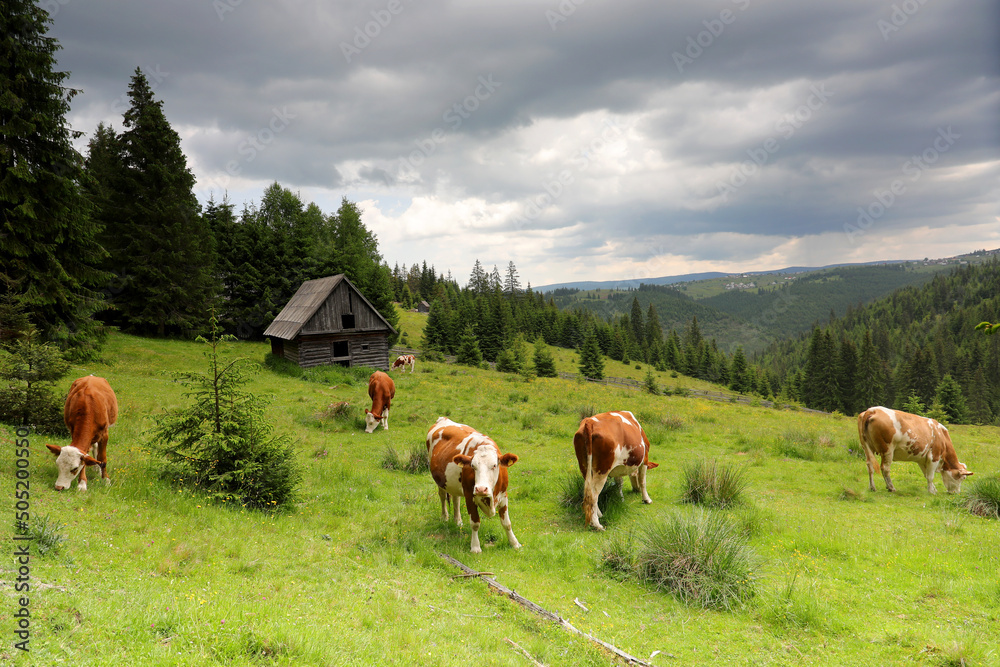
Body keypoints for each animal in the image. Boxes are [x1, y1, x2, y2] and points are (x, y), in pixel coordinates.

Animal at [426, 417, 521, 553]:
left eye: (494, 465)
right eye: (473, 466)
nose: (481, 488)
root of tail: (443, 418)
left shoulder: (503, 495)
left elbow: (507, 523)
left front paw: (514, 543)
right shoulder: (469, 495)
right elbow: (475, 523)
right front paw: (475, 547)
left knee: (456, 499)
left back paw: (458, 520)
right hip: (441, 481)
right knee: (443, 497)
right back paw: (445, 517)